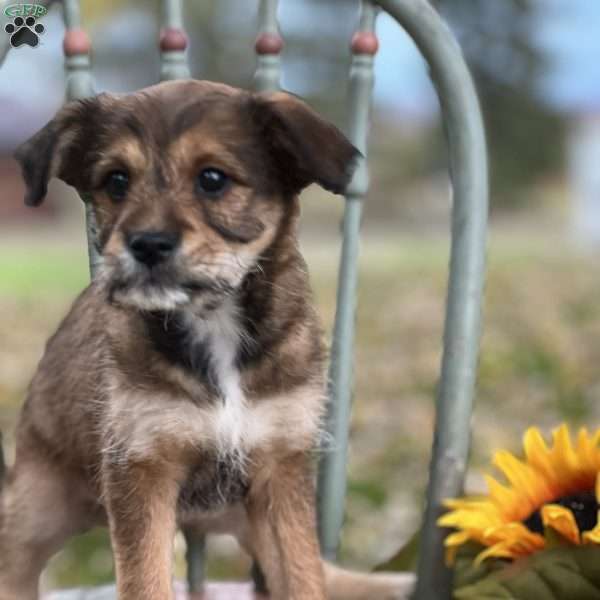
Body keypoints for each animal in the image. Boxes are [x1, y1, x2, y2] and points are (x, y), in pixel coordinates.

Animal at [3, 81, 412, 600]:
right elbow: (146, 582)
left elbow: (303, 574)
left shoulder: (280, 466)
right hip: (35, 509)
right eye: (116, 181)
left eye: (212, 179)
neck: (213, 322)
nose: (147, 244)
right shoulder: (141, 470)